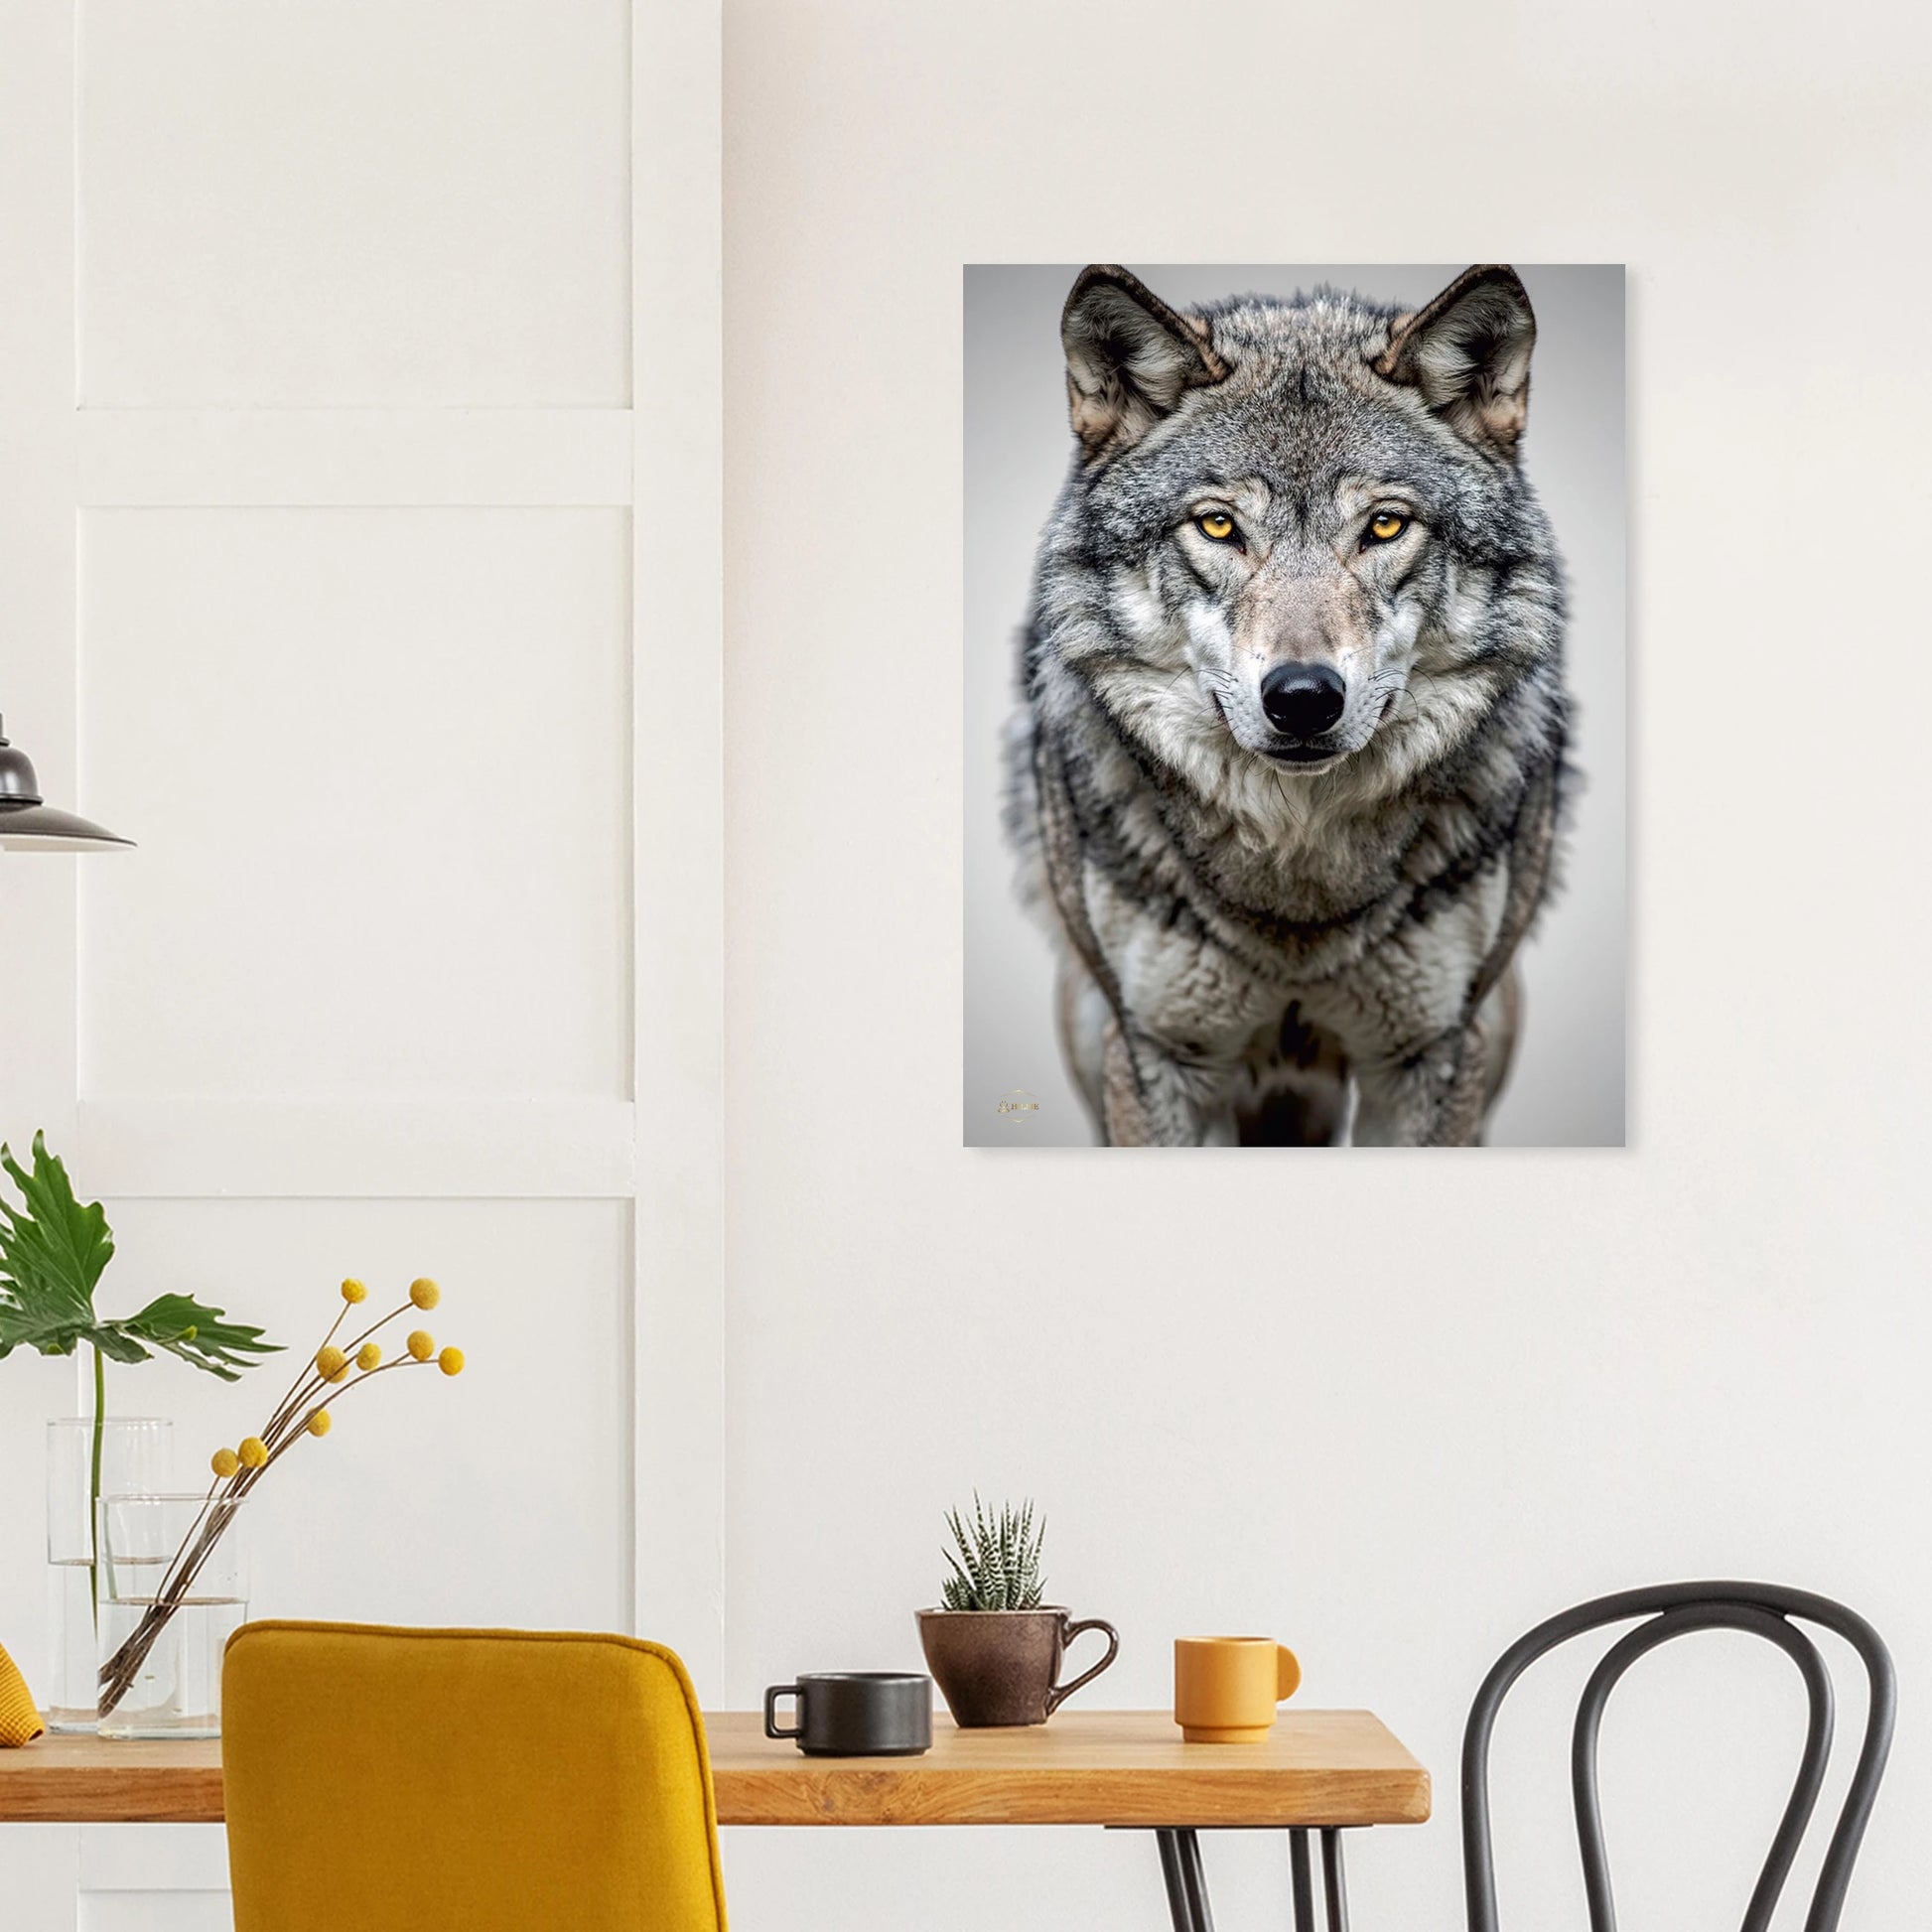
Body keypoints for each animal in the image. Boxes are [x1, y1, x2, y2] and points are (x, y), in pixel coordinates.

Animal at [1005, 264, 1570, 1146]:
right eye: (1218, 525)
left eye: (1384, 525)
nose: (1303, 700)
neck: (1298, 882)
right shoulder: (1157, 1054)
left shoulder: (1429, 1057)